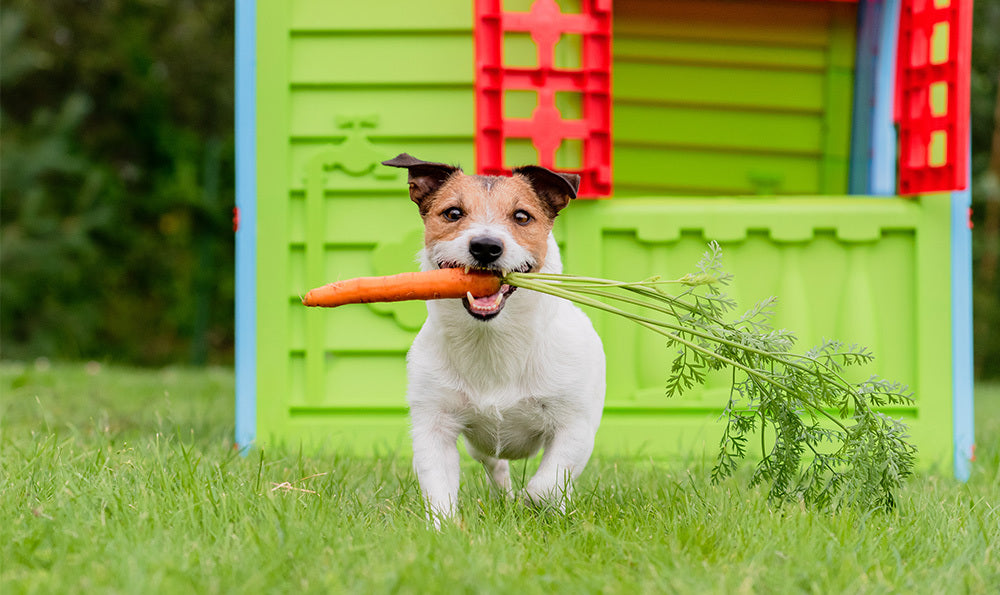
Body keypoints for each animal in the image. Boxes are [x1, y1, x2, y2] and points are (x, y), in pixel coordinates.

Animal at [380, 154, 600, 528]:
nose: (485, 246)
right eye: (453, 213)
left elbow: (547, 484)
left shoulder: (576, 425)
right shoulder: (434, 424)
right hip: (478, 444)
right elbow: (438, 487)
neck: (493, 340)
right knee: (496, 466)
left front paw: (534, 504)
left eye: (522, 216)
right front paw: (444, 529)